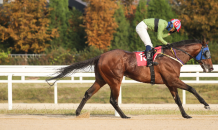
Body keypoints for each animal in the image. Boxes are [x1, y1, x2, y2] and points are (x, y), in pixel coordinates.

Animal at [46, 39, 213, 118]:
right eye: (206, 52)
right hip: (115, 80)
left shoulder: (170, 82)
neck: (171, 56)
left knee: (88, 93)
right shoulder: (172, 80)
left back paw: (77, 112)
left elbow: (177, 99)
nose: (211, 68)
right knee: (113, 100)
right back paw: (124, 116)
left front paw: (186, 115)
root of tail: (100, 56)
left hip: (101, 79)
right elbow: (192, 88)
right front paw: (206, 104)